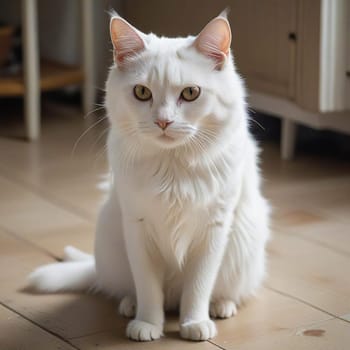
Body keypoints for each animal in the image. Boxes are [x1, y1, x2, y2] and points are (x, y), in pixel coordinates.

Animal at [29, 11, 270, 342]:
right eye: (142, 93)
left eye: (191, 93)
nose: (163, 121)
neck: (172, 168)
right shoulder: (137, 226)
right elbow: (148, 288)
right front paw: (147, 324)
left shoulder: (214, 229)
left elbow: (198, 286)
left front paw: (194, 323)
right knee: (131, 289)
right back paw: (130, 306)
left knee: (221, 290)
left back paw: (221, 306)